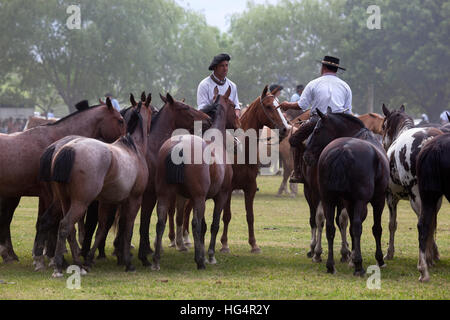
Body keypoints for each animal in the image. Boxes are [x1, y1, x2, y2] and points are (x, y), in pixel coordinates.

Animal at [152, 87, 239, 270]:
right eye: (232, 104)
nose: (238, 123)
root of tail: (178, 144)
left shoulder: (200, 198)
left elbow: (205, 227)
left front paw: (204, 254)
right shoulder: (219, 196)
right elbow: (212, 225)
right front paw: (209, 256)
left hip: (164, 195)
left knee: (161, 222)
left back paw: (156, 260)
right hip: (197, 199)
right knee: (195, 224)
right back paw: (199, 261)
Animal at [306, 110, 390, 276]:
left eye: (317, 130)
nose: (306, 154)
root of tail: (342, 149)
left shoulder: (347, 202)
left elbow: (347, 228)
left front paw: (351, 256)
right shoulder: (378, 200)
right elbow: (375, 229)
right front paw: (377, 259)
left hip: (328, 199)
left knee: (330, 228)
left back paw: (330, 265)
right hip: (359, 201)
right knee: (357, 227)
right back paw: (359, 266)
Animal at [380, 105, 442, 262]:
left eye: (383, 126)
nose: (382, 143)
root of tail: (427, 140)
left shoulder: (390, 197)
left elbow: (392, 224)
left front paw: (389, 252)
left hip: (415, 196)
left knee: (423, 222)